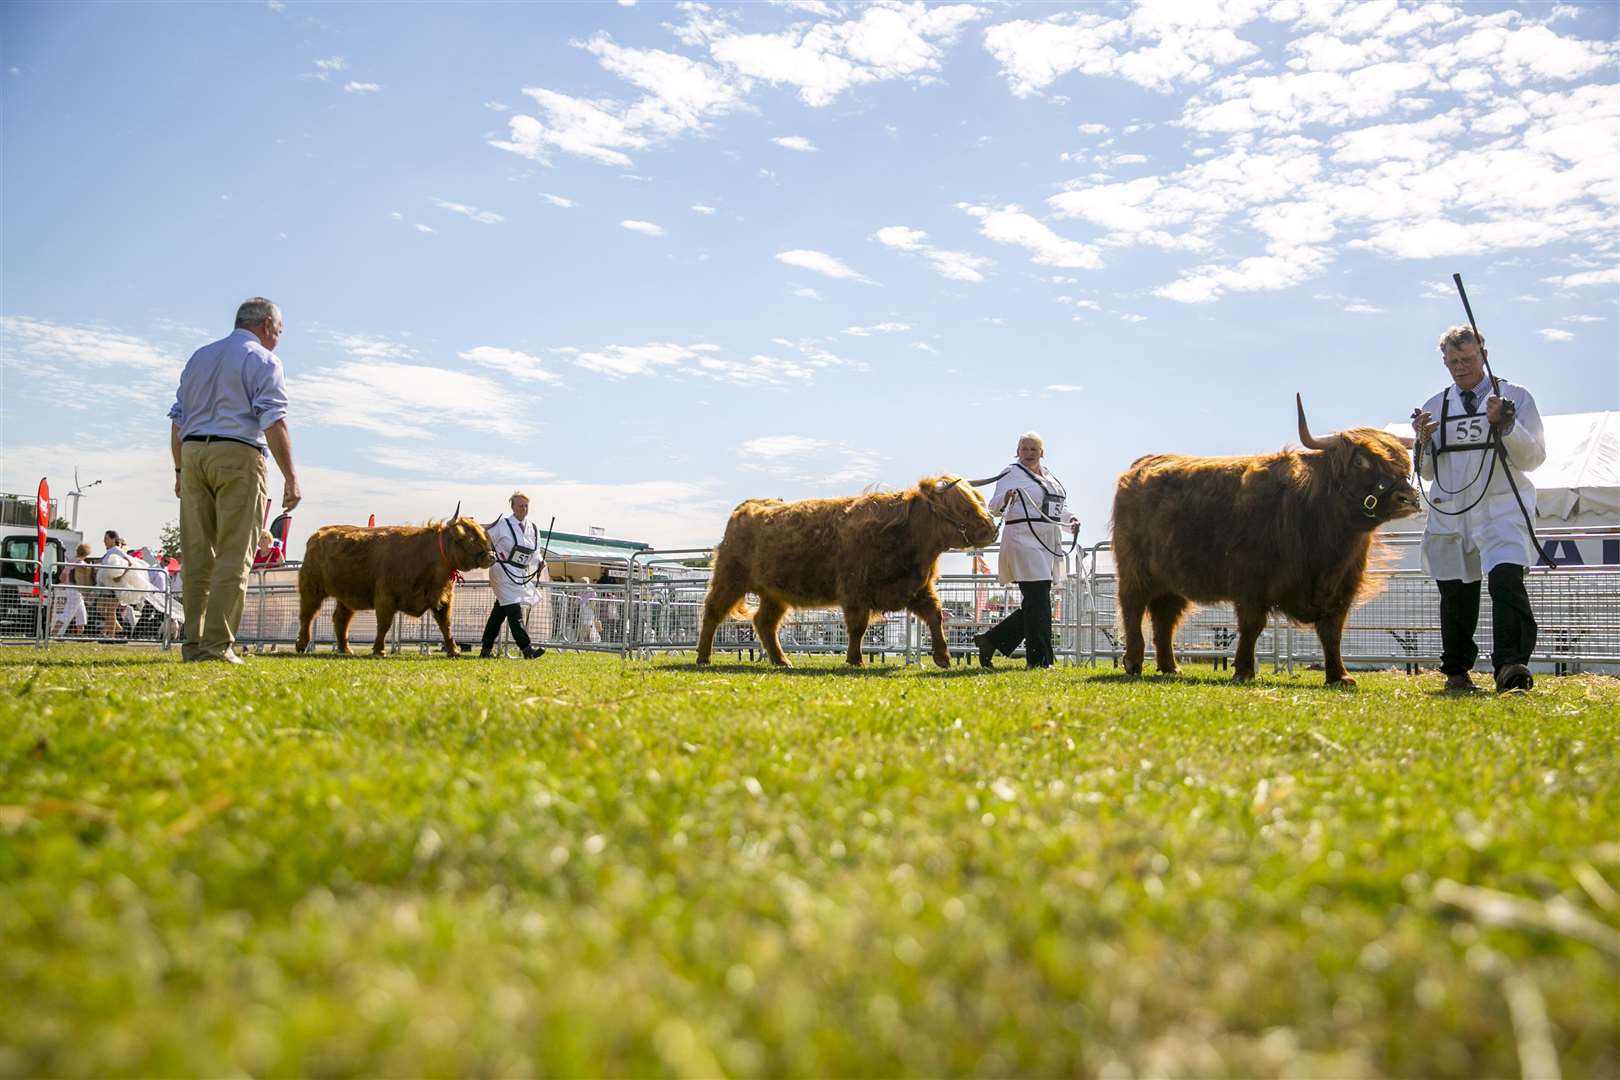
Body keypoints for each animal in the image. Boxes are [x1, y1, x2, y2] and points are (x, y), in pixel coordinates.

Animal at [696, 472, 997, 667]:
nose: (992, 530)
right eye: (963, 508)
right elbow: (857, 627)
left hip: (774, 593)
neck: (906, 535)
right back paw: (703, 657)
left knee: (764, 622)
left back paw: (782, 661)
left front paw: (942, 657)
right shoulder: (855, 591)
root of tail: (747, 506)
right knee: (712, 613)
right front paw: (855, 660)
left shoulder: (916, 589)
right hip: (729, 578)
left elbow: (936, 616)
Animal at [1114, 395, 1419, 683]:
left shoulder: (1342, 586)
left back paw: (1171, 667)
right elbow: (1252, 625)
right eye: (1360, 460)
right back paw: (1133, 661)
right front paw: (1244, 670)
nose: (1408, 498)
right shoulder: (1251, 580)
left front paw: (1340, 676)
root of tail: (1142, 464)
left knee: (1165, 619)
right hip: (1135, 572)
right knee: (1133, 608)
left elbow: (1332, 631)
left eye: (1404, 461)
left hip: (1171, 580)